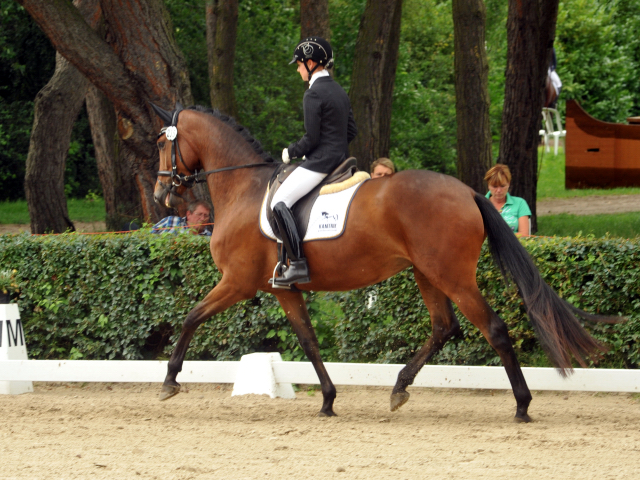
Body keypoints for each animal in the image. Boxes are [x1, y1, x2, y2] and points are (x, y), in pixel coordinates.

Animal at [152, 103, 616, 422]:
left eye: (161, 143)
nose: (161, 196)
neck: (243, 188)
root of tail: (468, 192)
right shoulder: (281, 289)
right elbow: (309, 341)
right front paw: (327, 400)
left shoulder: (237, 282)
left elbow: (191, 317)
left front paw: (170, 381)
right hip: (427, 273)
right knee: (444, 327)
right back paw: (399, 388)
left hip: (452, 276)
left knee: (494, 329)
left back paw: (521, 405)